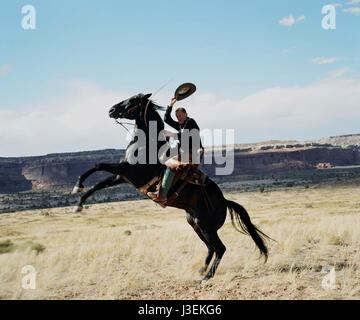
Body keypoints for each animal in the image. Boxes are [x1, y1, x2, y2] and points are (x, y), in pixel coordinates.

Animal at [71, 93, 272, 282]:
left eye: (133, 99)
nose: (111, 109)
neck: (146, 144)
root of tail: (224, 201)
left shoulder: (127, 171)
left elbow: (98, 164)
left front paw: (77, 189)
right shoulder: (122, 177)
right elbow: (98, 183)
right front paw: (78, 200)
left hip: (206, 227)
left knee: (220, 248)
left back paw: (207, 277)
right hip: (195, 224)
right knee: (211, 248)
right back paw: (201, 270)